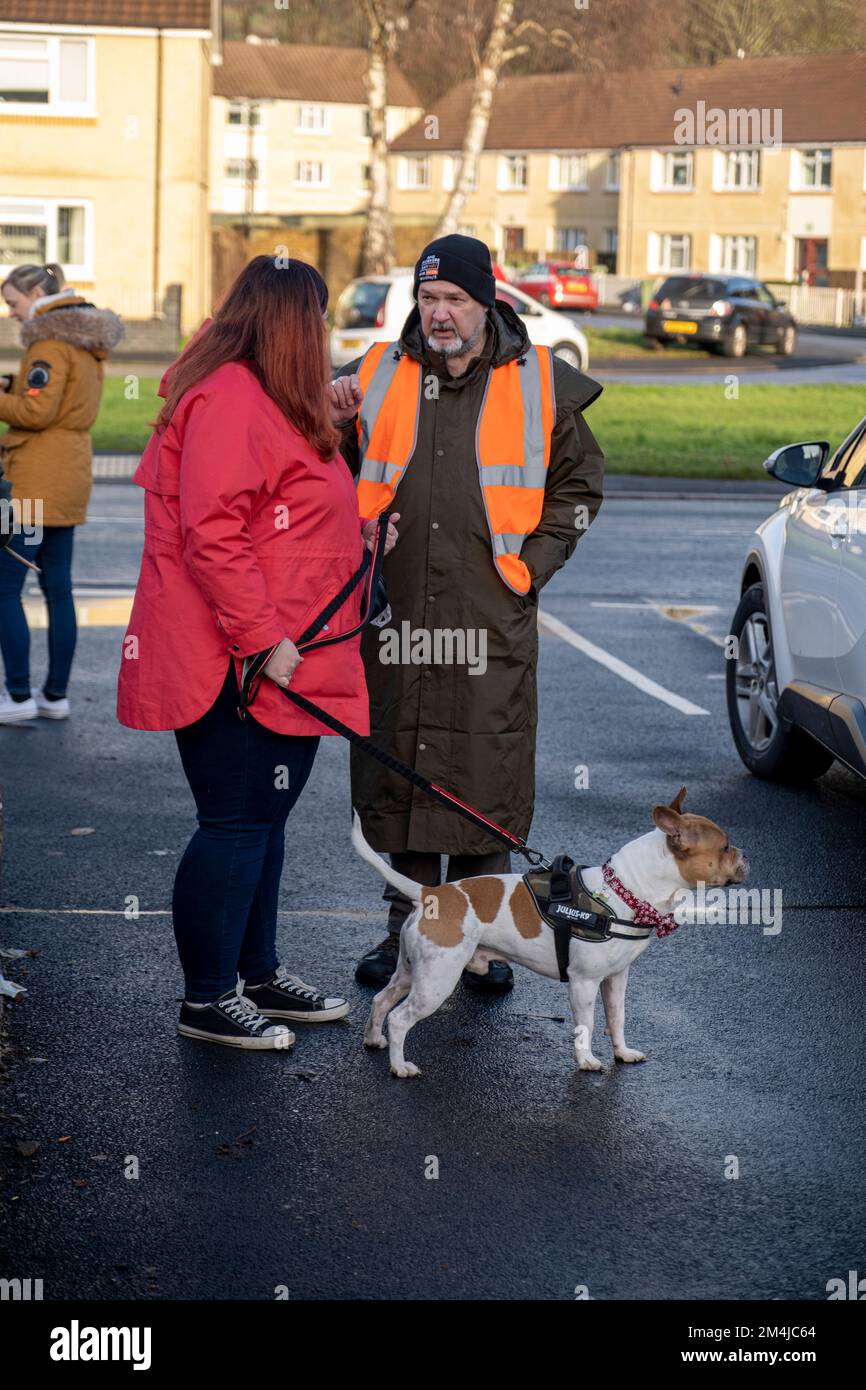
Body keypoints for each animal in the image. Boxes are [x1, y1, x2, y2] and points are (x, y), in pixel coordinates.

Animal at [353, 795, 745, 1073]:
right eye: (725, 846)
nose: (745, 855)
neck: (625, 891)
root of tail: (431, 893)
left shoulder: (616, 978)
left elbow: (616, 1018)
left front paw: (621, 1052)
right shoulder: (583, 982)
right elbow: (587, 1024)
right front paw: (586, 1061)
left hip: (411, 972)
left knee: (381, 1000)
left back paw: (373, 1040)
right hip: (437, 980)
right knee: (399, 1018)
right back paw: (400, 1067)